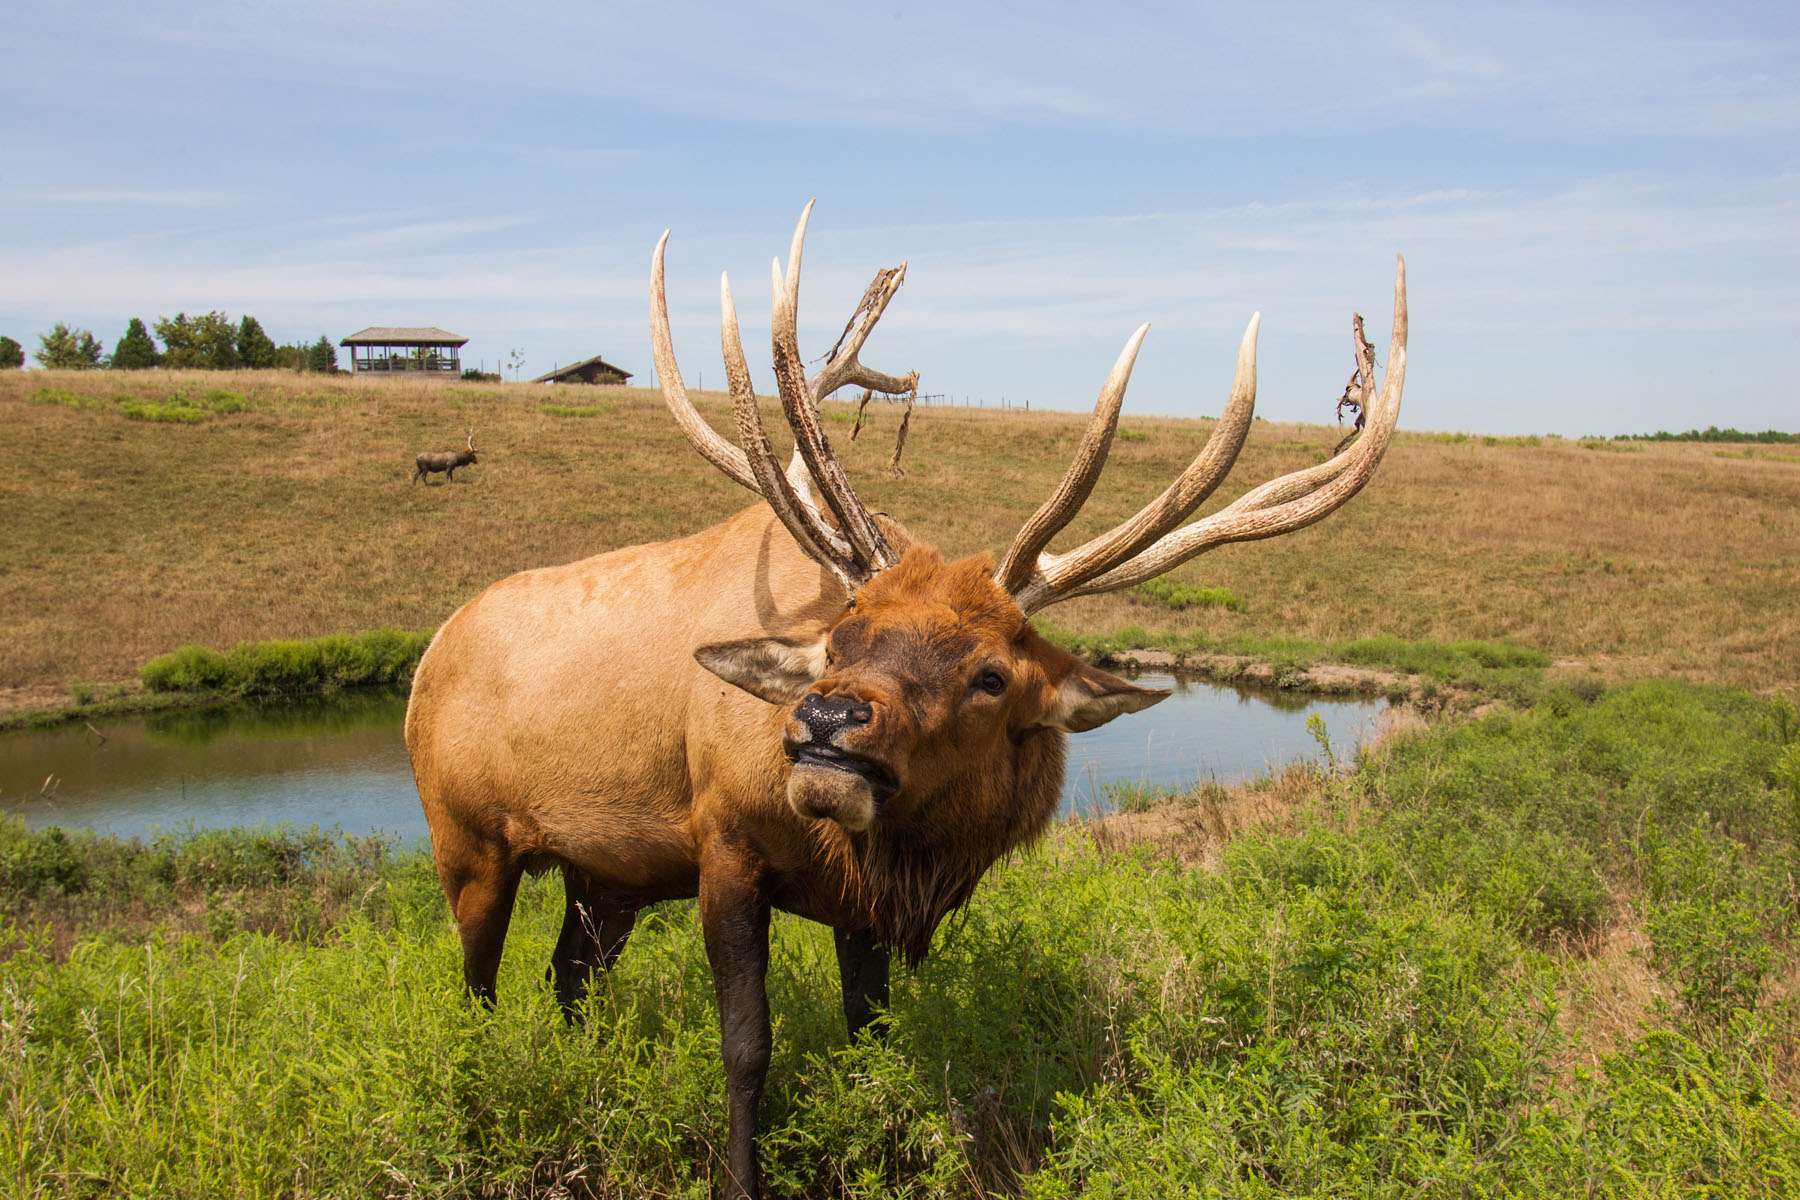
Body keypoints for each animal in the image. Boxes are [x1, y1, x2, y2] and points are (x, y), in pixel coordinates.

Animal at [404, 202, 1406, 1200]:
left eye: (993, 676)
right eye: (839, 642)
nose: (826, 723)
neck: (882, 859)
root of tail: (429, 654)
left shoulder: (860, 906)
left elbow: (871, 1044)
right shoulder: (722, 843)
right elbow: (747, 1052)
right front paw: (741, 1177)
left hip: (603, 874)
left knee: (567, 982)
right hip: (467, 841)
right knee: (476, 988)